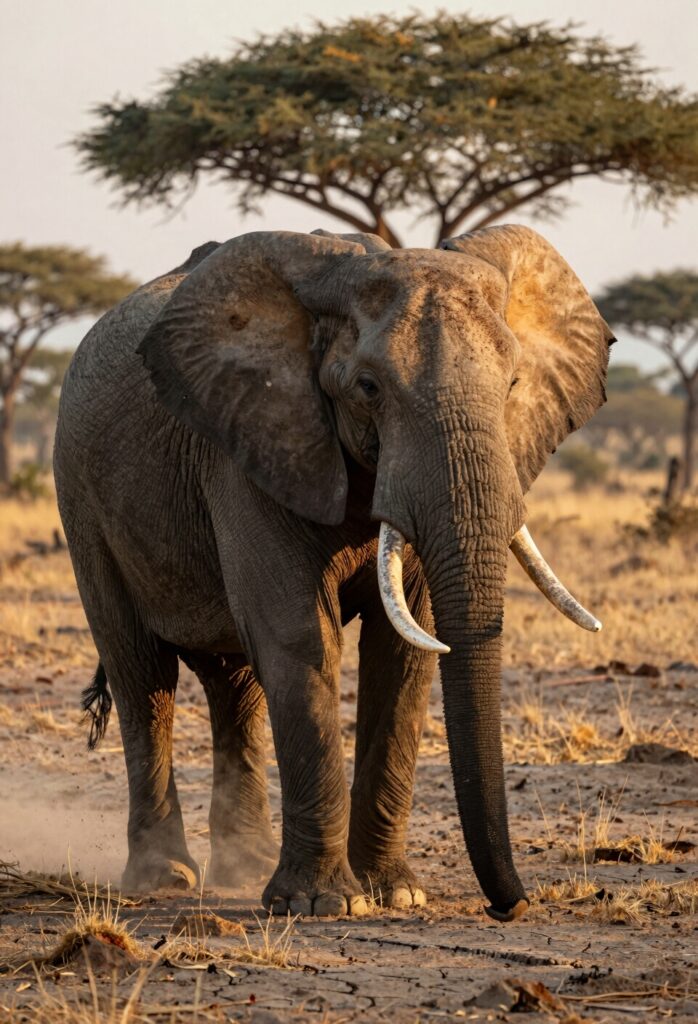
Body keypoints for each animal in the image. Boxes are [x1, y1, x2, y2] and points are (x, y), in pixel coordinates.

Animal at [53, 225, 612, 922]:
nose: (508, 908)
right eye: (368, 388)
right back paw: (166, 880)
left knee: (236, 688)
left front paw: (395, 893)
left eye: (512, 384)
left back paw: (247, 867)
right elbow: (299, 633)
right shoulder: (253, 443)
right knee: (142, 676)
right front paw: (322, 905)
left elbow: (406, 646)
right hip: (82, 502)